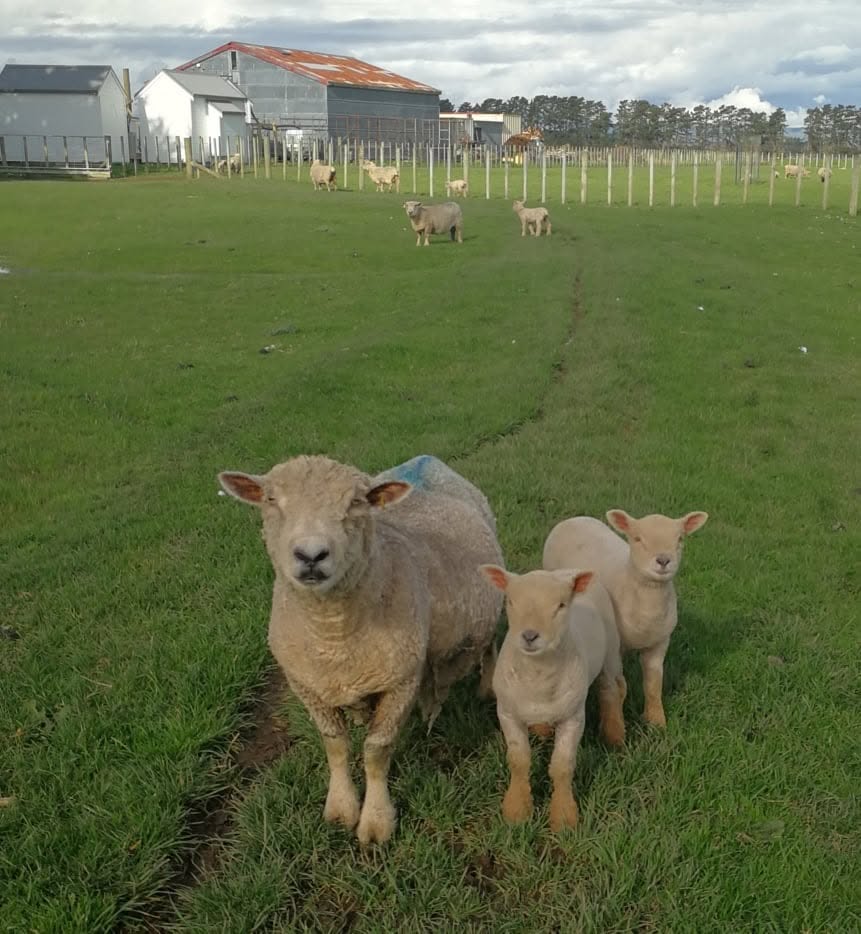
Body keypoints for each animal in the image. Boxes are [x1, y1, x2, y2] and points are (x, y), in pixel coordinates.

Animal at [218, 454, 503, 845]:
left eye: (355, 502)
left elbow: (376, 752)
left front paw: (376, 822)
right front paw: (340, 809)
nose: (310, 555)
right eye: (271, 500)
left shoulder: (400, 682)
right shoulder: (307, 686)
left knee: (488, 647)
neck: (333, 636)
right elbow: (336, 746)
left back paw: (486, 688)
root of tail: (426, 460)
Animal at [480, 566, 625, 831]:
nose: (529, 635)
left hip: (610, 652)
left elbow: (562, 767)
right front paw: (516, 810)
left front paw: (564, 816)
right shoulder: (507, 713)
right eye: (510, 601)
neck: (539, 677)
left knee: (610, 691)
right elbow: (518, 761)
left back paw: (614, 735)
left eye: (560, 605)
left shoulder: (574, 717)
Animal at [543, 510, 708, 729]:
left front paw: (656, 721)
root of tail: (574, 519)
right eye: (637, 539)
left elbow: (654, 683)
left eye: (680, 539)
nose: (663, 560)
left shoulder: (660, 643)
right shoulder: (614, 648)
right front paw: (613, 723)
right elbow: (619, 687)